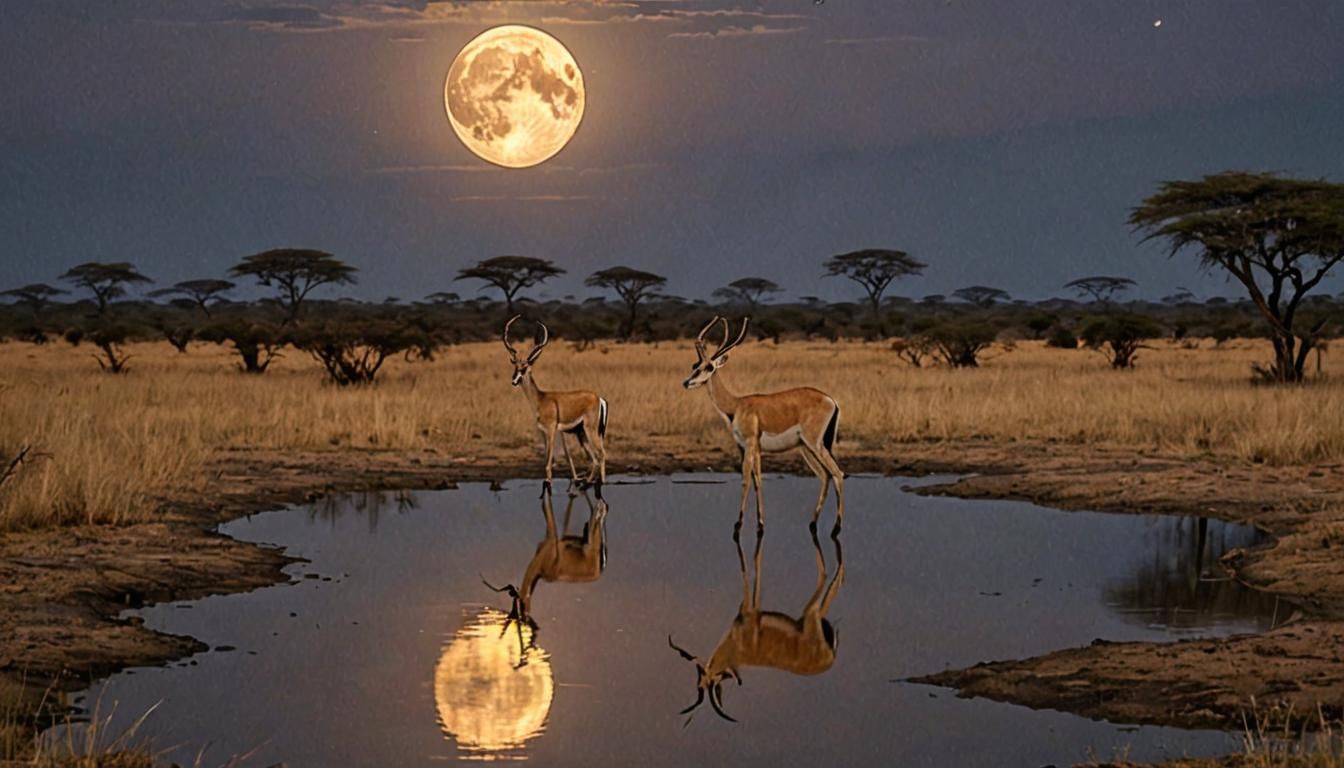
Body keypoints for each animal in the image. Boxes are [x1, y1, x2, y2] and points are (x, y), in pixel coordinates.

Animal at [483, 487, 609, 649]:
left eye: (521, 604)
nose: (522, 616)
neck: (541, 568)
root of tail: (600, 568)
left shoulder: (551, 538)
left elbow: (547, 507)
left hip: (593, 531)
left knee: (600, 509)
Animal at [503, 315, 608, 492]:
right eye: (515, 367)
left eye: (525, 368)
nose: (514, 381)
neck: (540, 399)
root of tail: (598, 397)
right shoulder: (543, 433)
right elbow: (547, 462)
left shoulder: (552, 432)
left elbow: (548, 465)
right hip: (584, 433)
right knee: (595, 458)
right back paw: (586, 483)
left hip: (590, 430)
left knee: (601, 454)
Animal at [668, 530, 844, 723]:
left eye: (709, 678)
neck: (734, 648)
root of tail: (830, 659)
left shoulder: (749, 612)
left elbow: (752, 569)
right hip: (811, 617)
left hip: (810, 614)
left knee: (825, 575)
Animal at [683, 316, 844, 535]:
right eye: (695, 365)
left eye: (709, 367)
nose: (686, 382)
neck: (736, 405)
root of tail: (831, 400)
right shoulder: (749, 448)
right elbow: (758, 480)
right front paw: (760, 524)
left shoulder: (750, 444)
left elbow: (746, 480)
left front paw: (738, 526)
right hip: (806, 448)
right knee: (826, 476)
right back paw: (812, 523)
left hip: (815, 445)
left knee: (838, 474)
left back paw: (836, 528)